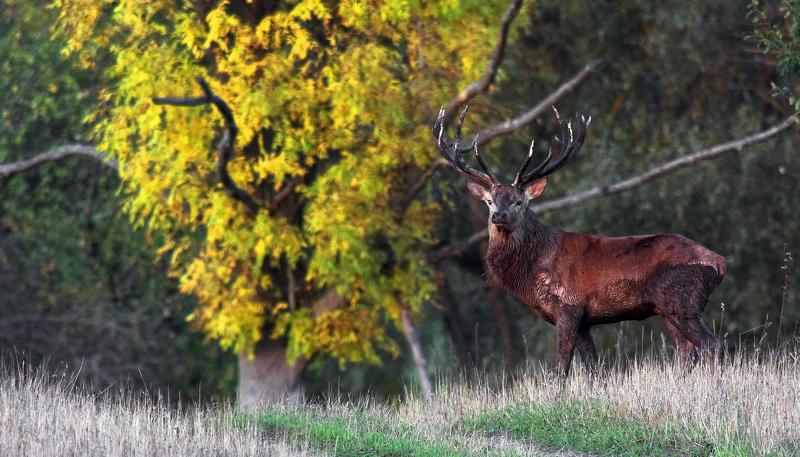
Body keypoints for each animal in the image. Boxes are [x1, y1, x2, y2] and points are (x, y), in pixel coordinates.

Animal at [433, 106, 726, 377]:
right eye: (489, 201)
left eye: (518, 201)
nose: (499, 216)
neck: (532, 272)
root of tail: (718, 262)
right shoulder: (584, 321)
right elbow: (594, 368)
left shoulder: (568, 309)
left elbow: (561, 368)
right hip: (668, 310)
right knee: (687, 351)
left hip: (682, 303)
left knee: (712, 345)